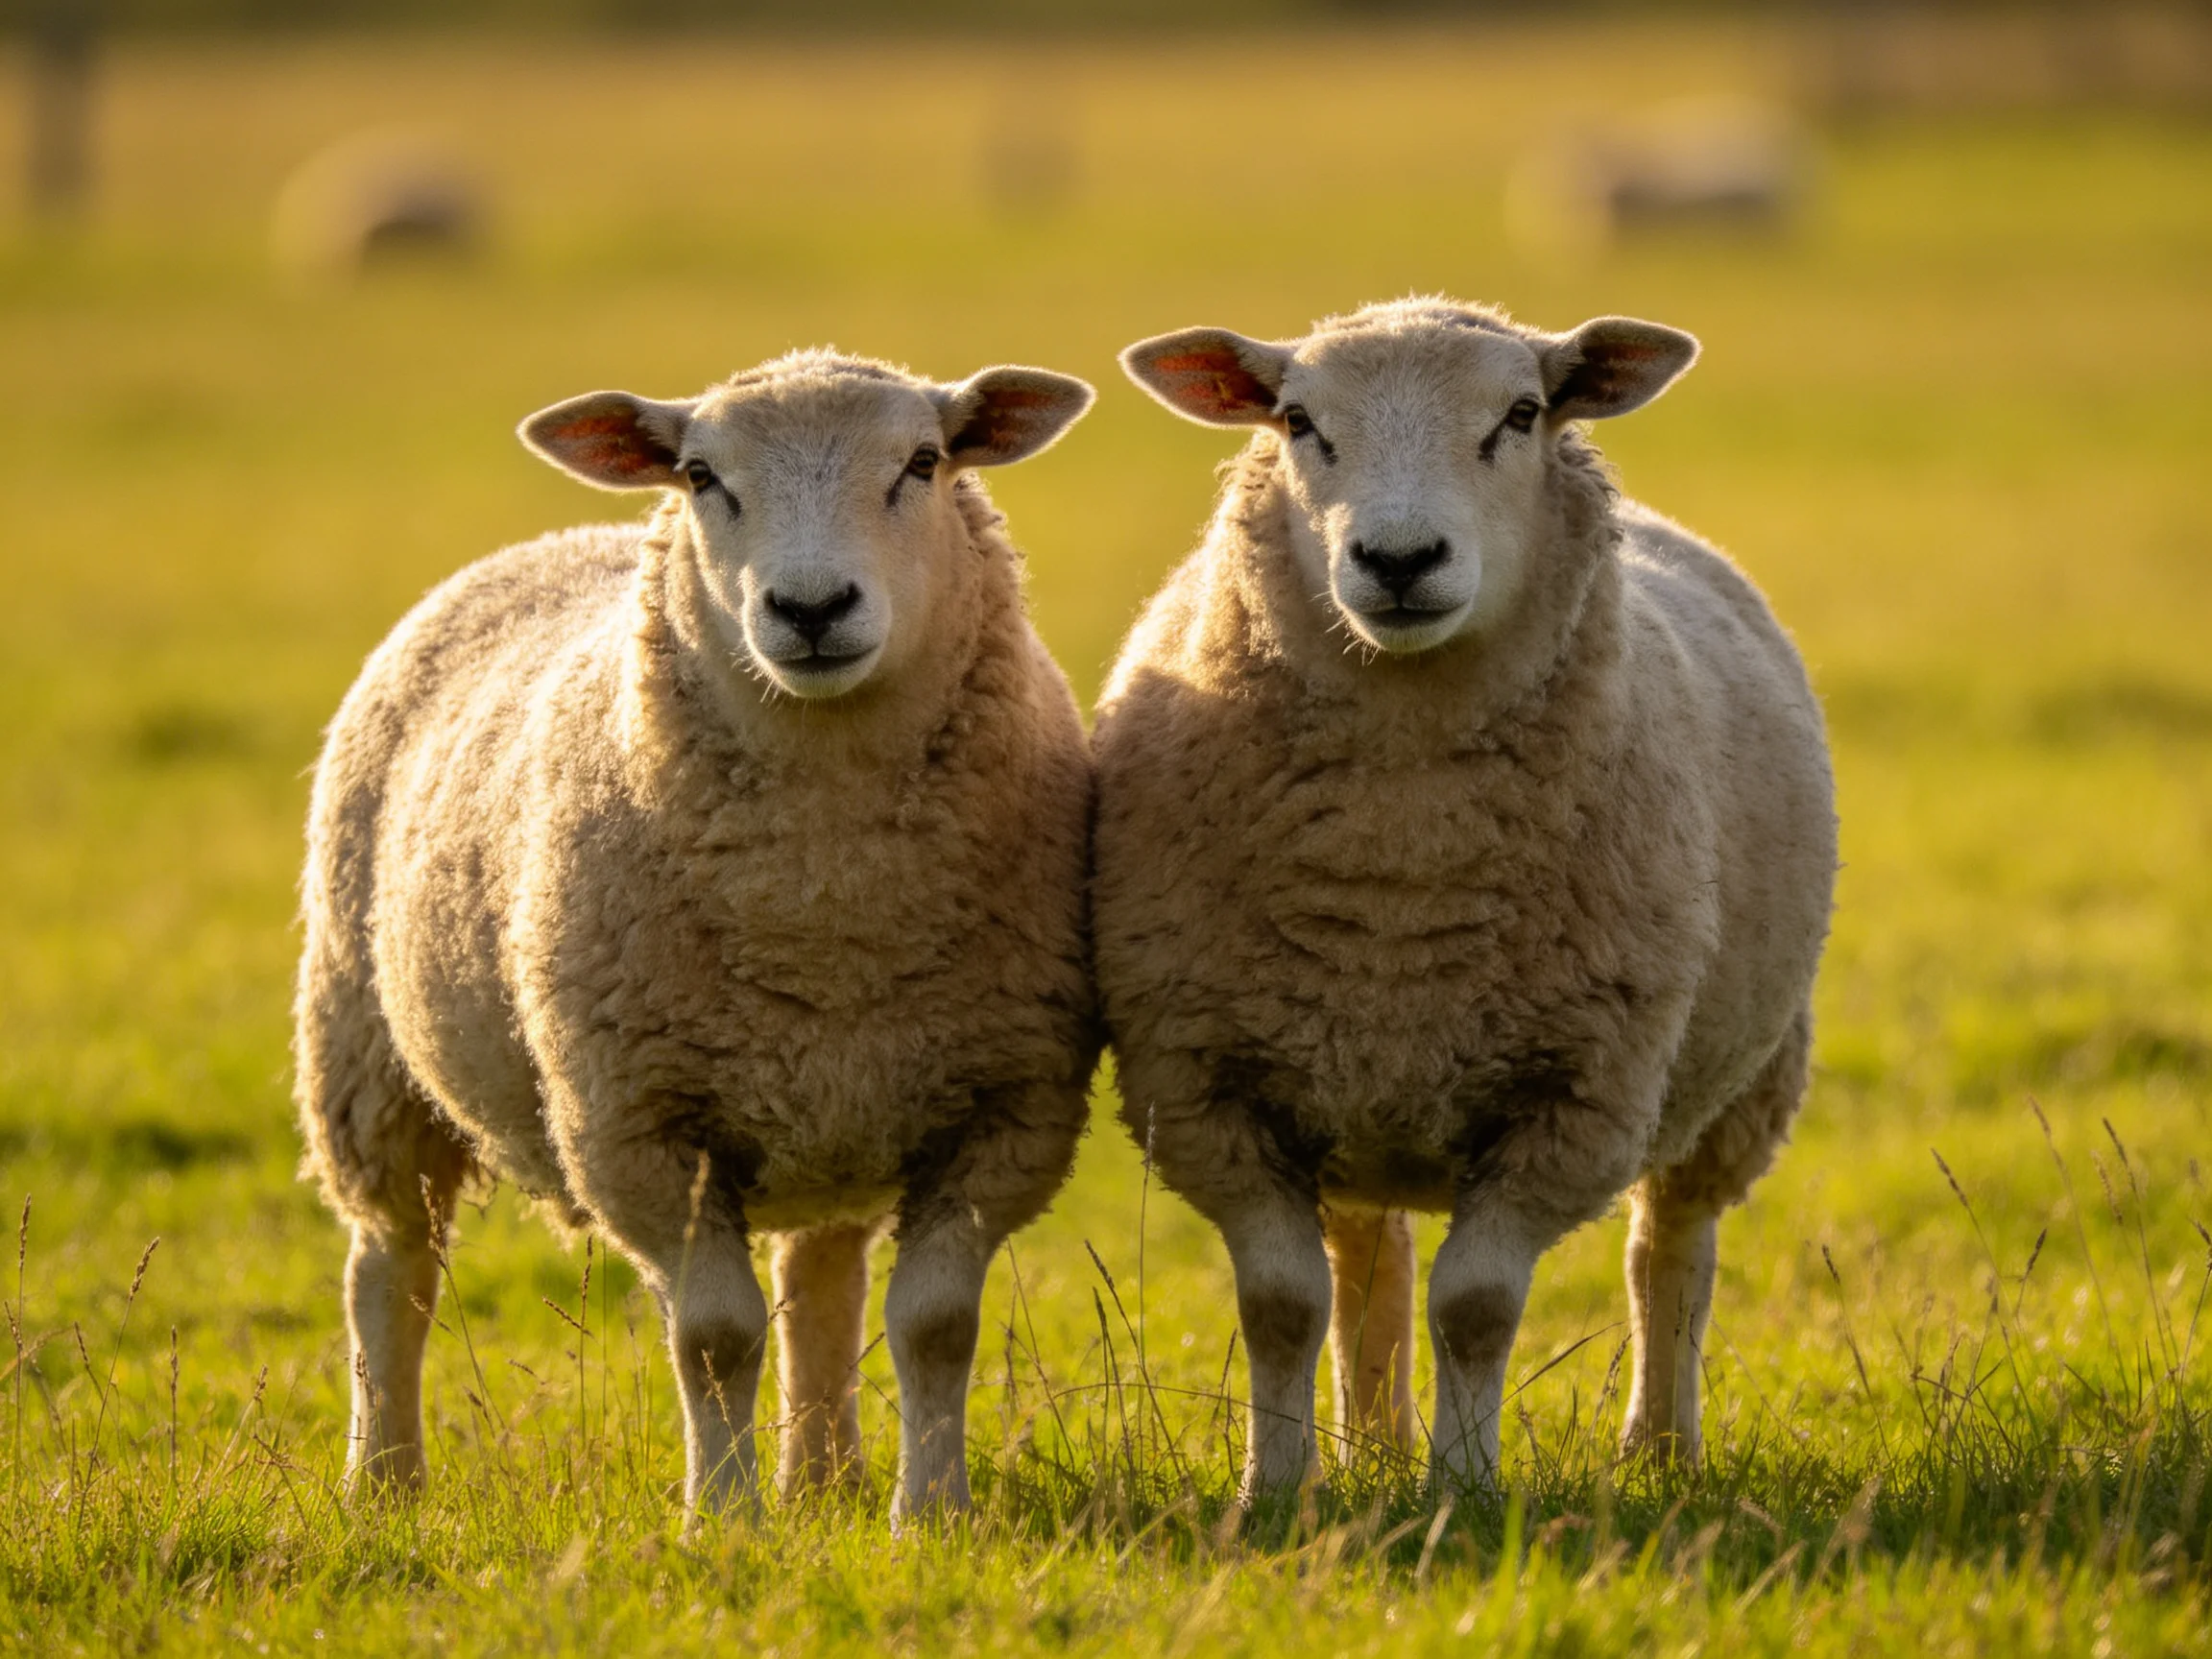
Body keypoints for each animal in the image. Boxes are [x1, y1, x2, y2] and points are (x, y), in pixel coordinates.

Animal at [293, 348, 1099, 1521]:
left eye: (923, 461)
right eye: (701, 475)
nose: (810, 607)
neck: (828, 898)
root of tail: (557, 538)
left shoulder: (1005, 1111)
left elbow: (933, 1325)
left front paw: (930, 1515)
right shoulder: (637, 1123)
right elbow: (716, 1338)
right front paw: (722, 1519)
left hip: (842, 1105)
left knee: (822, 1277)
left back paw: (824, 1479)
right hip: (366, 1055)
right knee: (390, 1272)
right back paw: (385, 1481)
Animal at [1094, 297, 1836, 1498]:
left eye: (1521, 415)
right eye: (1298, 421)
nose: (1399, 559)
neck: (1403, 864)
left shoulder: (1575, 1096)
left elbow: (1478, 1307)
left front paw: (1465, 1490)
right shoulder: (1209, 1088)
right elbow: (1284, 1302)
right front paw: (1276, 1489)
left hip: (1744, 1080)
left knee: (1669, 1253)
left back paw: (1657, 1450)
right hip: (1351, 1088)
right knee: (1367, 1260)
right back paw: (1376, 1443)